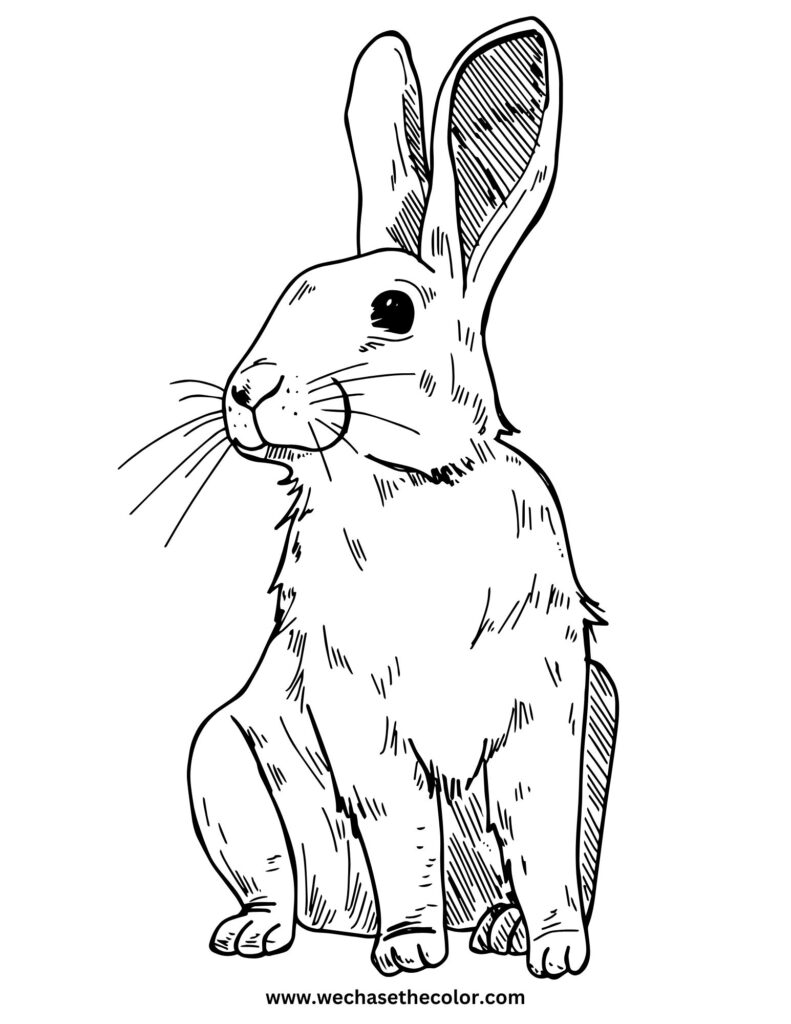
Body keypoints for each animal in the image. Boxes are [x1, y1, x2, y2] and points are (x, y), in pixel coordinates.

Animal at [186, 17, 619, 979]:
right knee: (274, 883)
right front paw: (414, 948)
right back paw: (261, 933)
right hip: (223, 768)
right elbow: (402, 836)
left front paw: (558, 951)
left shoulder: (549, 712)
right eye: (289, 294)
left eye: (392, 310)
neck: (413, 483)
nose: (246, 389)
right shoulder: (363, 724)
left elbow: (543, 837)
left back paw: (498, 929)